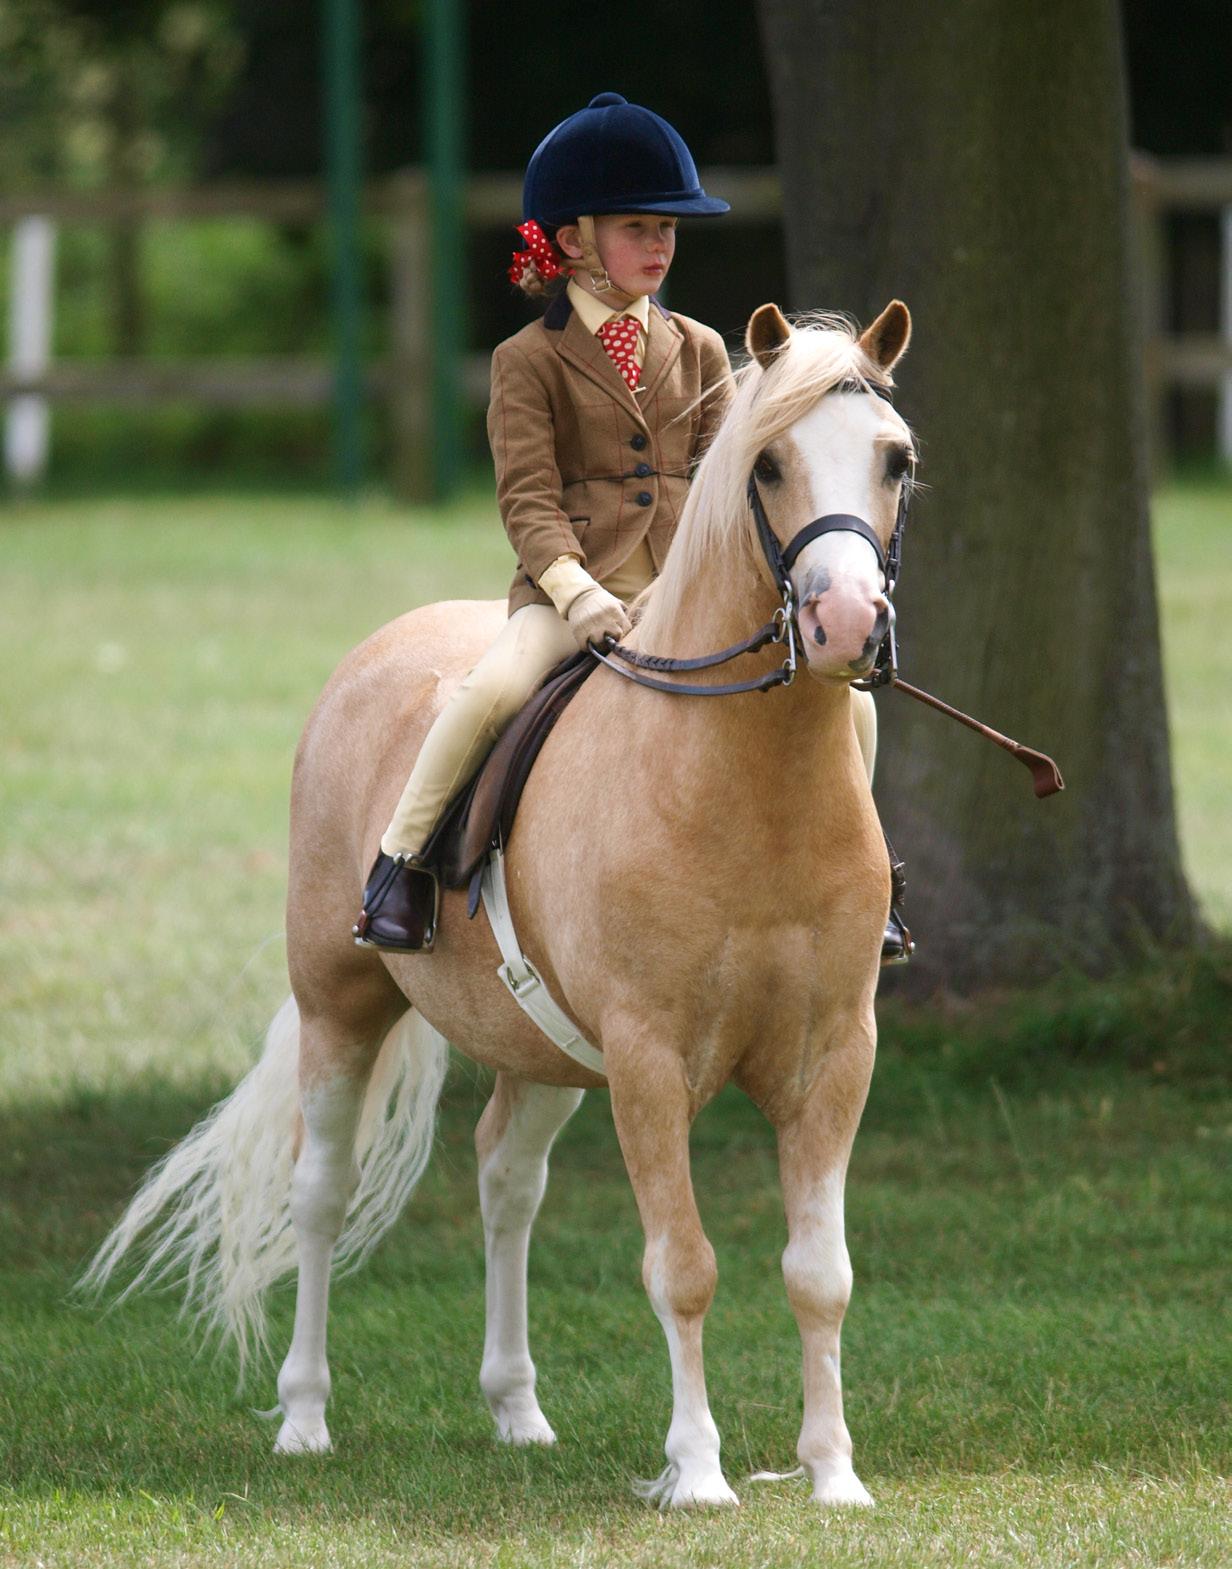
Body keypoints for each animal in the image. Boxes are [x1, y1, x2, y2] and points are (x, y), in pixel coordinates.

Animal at [85, 299, 916, 1510]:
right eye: (766, 464)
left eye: (895, 459)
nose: (846, 622)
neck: (739, 783)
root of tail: (375, 652)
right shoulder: (650, 1060)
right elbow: (682, 1266)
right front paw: (696, 1472)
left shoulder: (833, 1057)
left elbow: (821, 1274)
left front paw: (834, 1475)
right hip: (341, 1007)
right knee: (320, 1192)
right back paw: (304, 1417)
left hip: (546, 1055)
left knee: (504, 1182)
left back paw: (517, 1410)